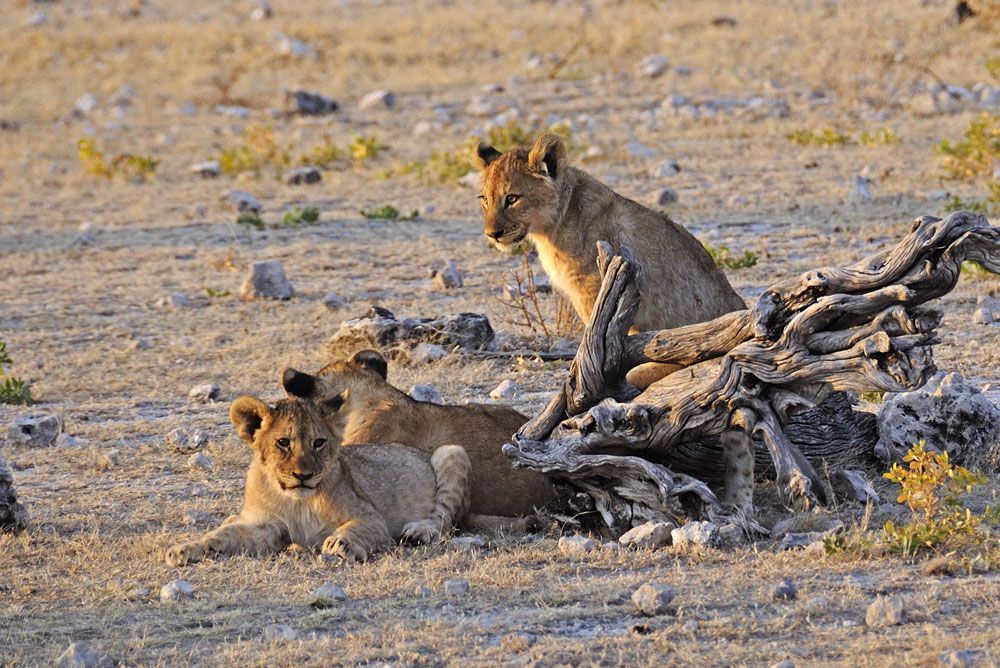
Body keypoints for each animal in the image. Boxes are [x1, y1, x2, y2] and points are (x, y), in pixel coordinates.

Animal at [165, 394, 471, 566]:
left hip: (451, 451)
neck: (296, 502)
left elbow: (359, 528)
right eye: (283, 442)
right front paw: (184, 550)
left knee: (443, 519)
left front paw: (340, 543)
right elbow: (225, 535)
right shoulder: (267, 526)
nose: (303, 475)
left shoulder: (372, 518)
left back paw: (419, 531)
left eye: (319, 442)